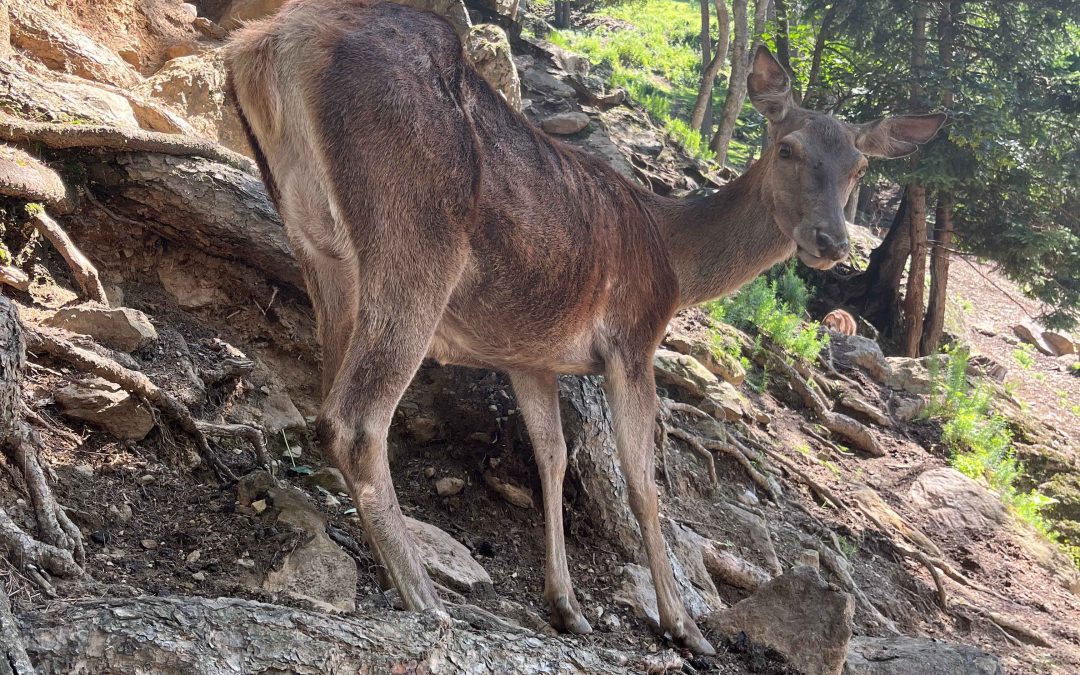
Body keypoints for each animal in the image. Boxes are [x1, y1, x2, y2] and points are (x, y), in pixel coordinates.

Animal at [227, 0, 946, 652]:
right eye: (788, 148)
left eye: (858, 167)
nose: (831, 242)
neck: (675, 258)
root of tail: (273, 42)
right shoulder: (633, 339)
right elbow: (644, 486)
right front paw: (685, 627)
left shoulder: (529, 354)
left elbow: (552, 455)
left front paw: (566, 605)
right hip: (416, 232)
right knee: (354, 418)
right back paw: (428, 600)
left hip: (316, 243)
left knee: (326, 399)